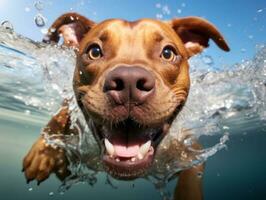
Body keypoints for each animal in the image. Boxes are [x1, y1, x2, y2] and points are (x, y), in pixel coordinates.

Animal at [21, 12, 229, 200]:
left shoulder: (189, 155)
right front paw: (44, 153)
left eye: (168, 53)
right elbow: (61, 113)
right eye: (94, 51)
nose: (129, 81)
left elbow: (191, 180)